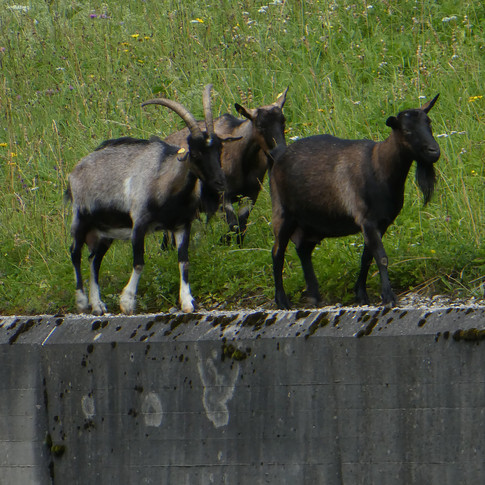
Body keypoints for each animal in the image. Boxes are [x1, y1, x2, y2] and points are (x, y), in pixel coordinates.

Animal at [66, 84, 236, 314]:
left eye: (219, 149)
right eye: (196, 153)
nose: (220, 183)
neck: (167, 186)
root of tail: (74, 172)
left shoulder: (181, 224)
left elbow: (184, 260)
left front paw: (187, 301)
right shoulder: (139, 222)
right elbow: (138, 262)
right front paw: (127, 302)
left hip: (105, 230)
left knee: (94, 259)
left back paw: (98, 305)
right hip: (81, 217)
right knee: (75, 253)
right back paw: (83, 302)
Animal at [270, 92, 440, 308]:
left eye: (429, 123)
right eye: (407, 130)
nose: (434, 151)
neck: (379, 167)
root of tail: (277, 158)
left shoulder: (381, 222)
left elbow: (367, 257)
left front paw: (361, 294)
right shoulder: (367, 219)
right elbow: (381, 257)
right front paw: (388, 297)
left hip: (312, 222)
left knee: (303, 250)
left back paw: (315, 296)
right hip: (283, 213)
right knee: (278, 252)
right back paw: (282, 300)